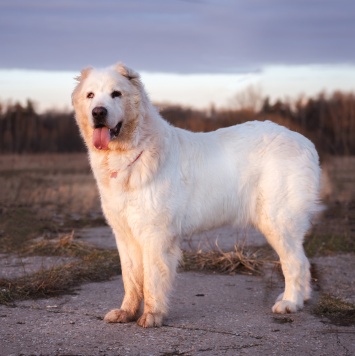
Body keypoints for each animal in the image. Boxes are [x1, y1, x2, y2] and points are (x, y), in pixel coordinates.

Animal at [72, 63, 322, 328]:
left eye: (116, 94)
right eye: (90, 95)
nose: (98, 112)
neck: (131, 153)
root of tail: (305, 142)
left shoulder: (155, 235)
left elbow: (152, 279)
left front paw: (152, 315)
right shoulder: (125, 235)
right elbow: (131, 279)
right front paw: (126, 312)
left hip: (278, 221)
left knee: (296, 262)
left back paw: (290, 302)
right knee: (303, 262)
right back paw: (298, 298)